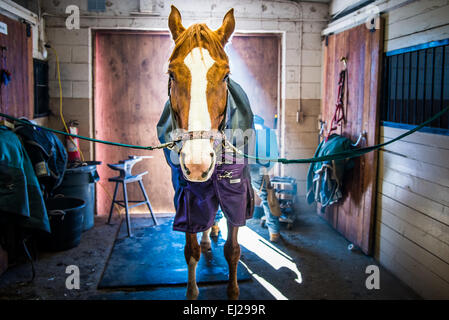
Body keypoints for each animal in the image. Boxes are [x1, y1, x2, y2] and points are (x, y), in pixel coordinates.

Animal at [164, 5, 250, 300]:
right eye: (171, 75)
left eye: (225, 76)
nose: (197, 164)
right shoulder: (187, 195)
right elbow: (191, 250)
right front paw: (192, 292)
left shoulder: (236, 190)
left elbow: (233, 250)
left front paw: (233, 291)